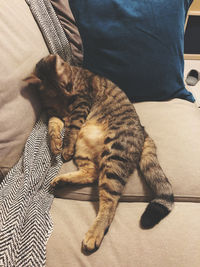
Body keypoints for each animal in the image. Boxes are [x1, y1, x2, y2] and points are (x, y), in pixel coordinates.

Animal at [24, 54, 173, 253]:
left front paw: (65, 147)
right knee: (92, 173)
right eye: (65, 90)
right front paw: (56, 145)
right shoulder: (54, 114)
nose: (67, 114)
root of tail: (143, 131)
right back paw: (61, 180)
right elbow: (53, 127)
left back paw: (94, 234)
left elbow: (71, 129)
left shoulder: (81, 103)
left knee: (110, 204)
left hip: (114, 156)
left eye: (70, 89)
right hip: (84, 150)